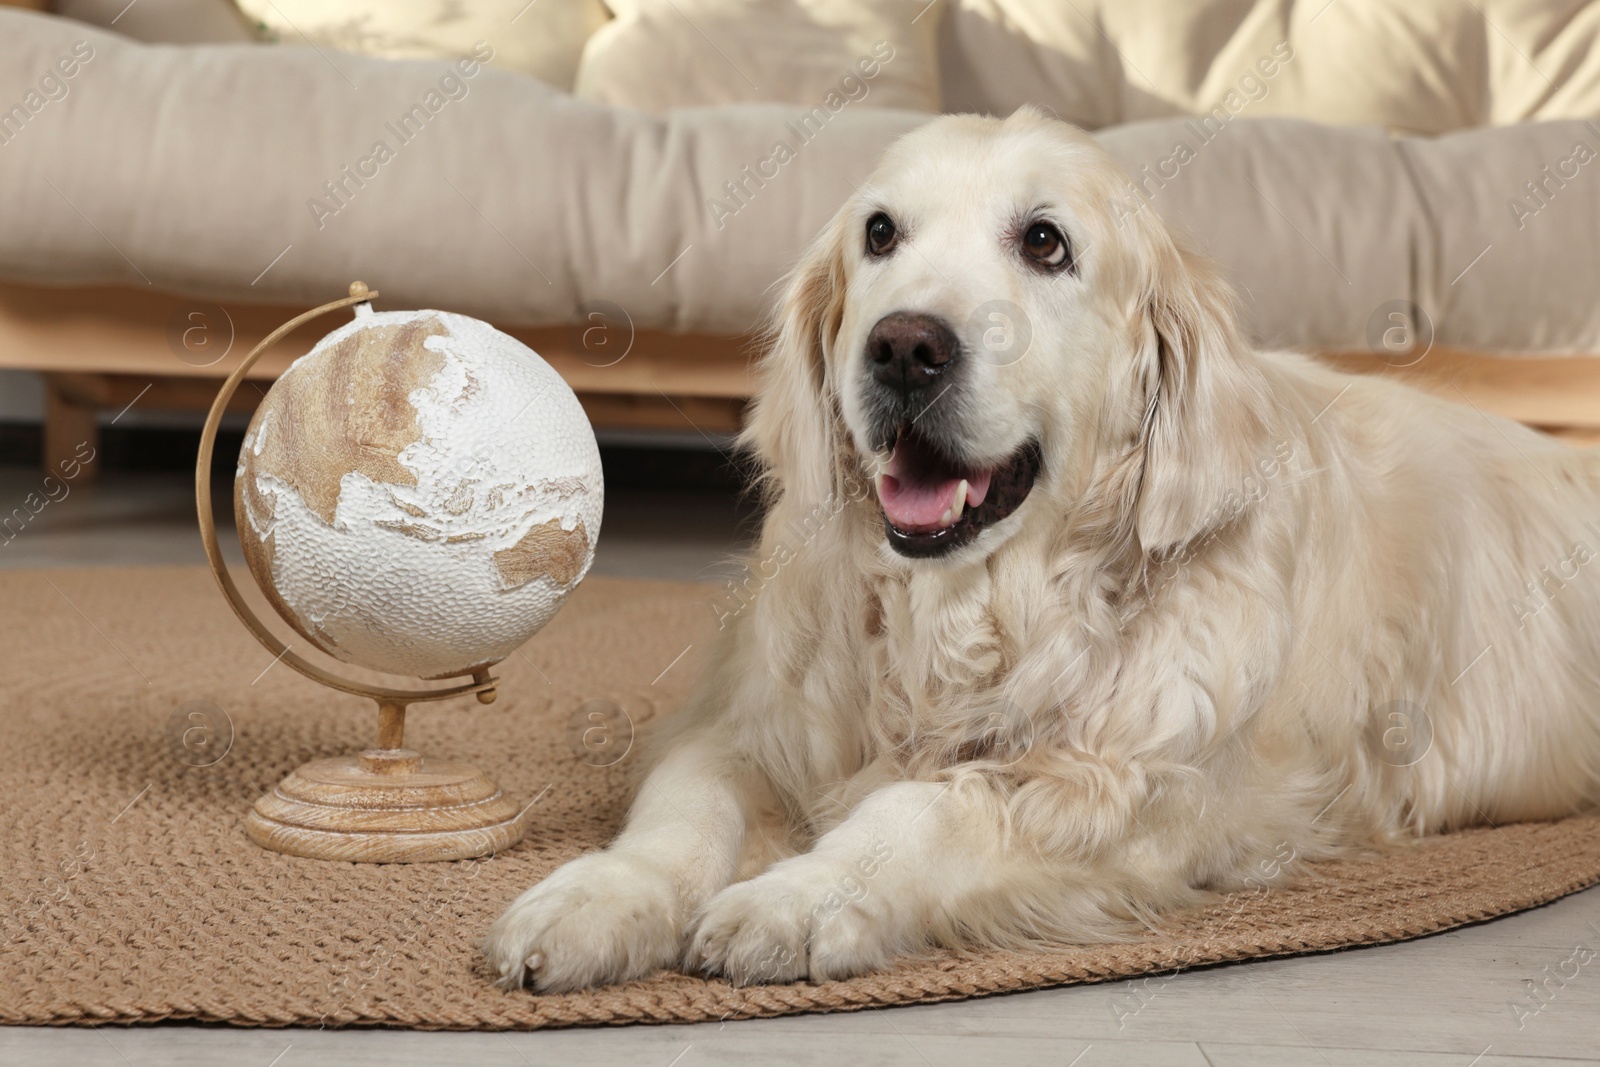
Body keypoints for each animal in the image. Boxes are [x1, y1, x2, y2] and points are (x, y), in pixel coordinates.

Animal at [480, 108, 1600, 991]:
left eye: (1046, 242)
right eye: (879, 232)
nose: (904, 347)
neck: (968, 610)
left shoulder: (1130, 794)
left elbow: (922, 811)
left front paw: (799, 896)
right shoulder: (752, 720)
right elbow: (684, 805)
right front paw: (595, 896)